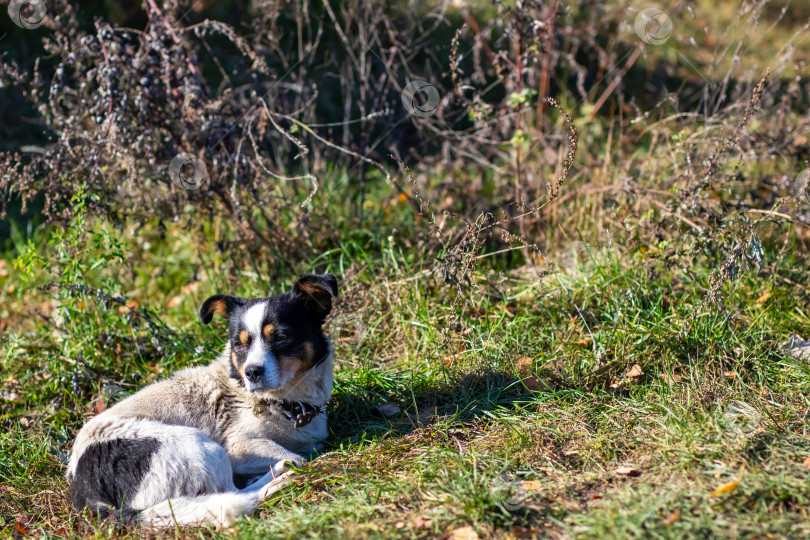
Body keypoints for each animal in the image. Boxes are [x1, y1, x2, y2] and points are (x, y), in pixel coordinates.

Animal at [65, 274, 338, 528]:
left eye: (281, 336)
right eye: (239, 345)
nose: (251, 372)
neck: (284, 404)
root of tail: (86, 492)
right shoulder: (239, 447)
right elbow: (300, 458)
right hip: (202, 447)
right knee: (238, 492)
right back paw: (279, 475)